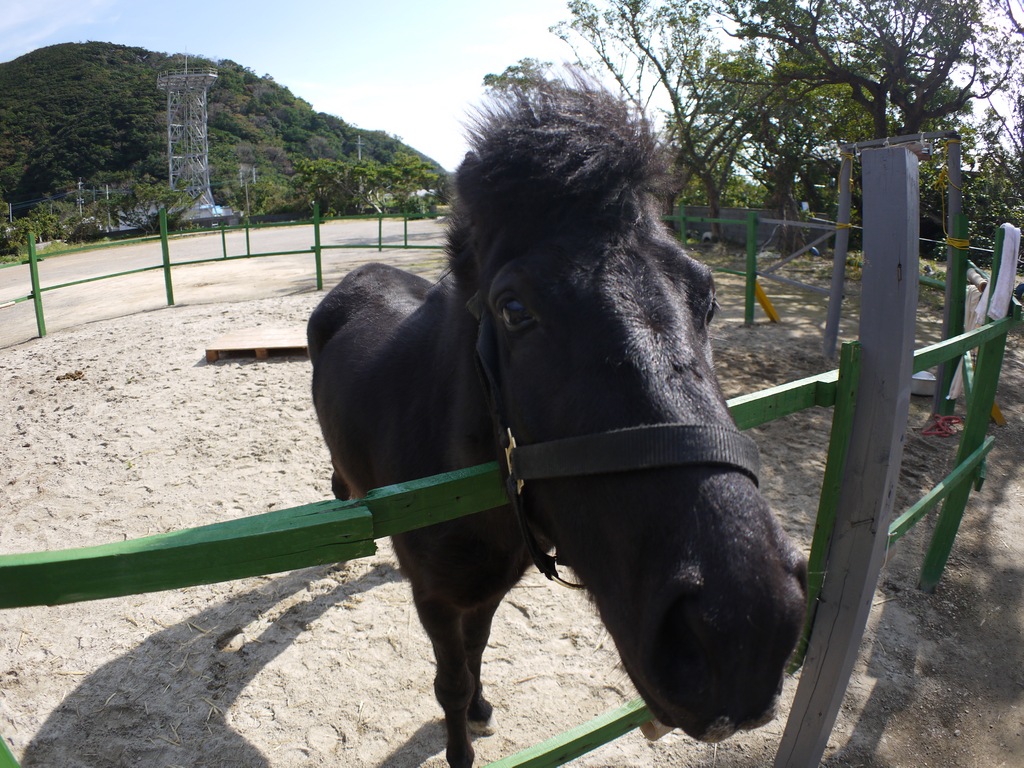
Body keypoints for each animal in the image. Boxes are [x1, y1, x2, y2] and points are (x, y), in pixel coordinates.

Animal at [309, 78, 806, 768]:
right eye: (513, 308)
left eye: (706, 297)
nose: (745, 632)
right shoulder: (435, 599)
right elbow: (449, 682)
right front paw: (461, 742)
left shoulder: (490, 586)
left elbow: (477, 651)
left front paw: (483, 709)